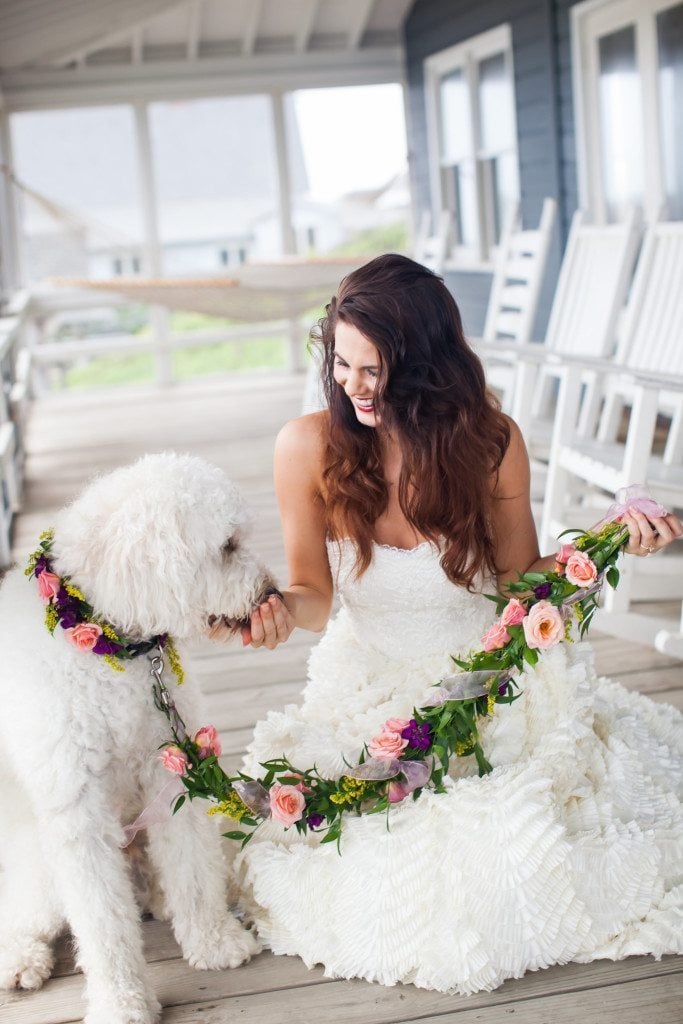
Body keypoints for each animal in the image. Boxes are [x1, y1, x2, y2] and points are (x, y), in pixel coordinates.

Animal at [0, 456, 274, 1024]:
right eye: (228, 545)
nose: (271, 592)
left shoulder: (169, 771)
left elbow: (191, 868)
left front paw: (213, 942)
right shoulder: (79, 816)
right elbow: (103, 923)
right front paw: (121, 1002)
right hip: (39, 864)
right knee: (22, 915)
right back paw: (21, 959)